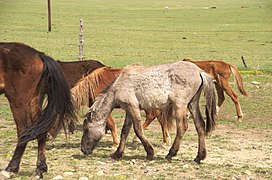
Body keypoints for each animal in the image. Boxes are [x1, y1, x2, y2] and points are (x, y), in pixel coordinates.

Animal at [0, 42, 76, 179]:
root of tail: (38, 55)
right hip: (34, 101)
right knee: (41, 130)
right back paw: (39, 169)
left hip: (18, 102)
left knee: (23, 131)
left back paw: (10, 168)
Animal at [79, 61, 216, 164]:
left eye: (86, 129)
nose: (83, 150)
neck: (119, 86)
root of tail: (199, 71)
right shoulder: (129, 110)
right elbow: (125, 131)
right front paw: (117, 153)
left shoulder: (133, 108)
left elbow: (138, 130)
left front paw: (150, 153)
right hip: (192, 104)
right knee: (200, 125)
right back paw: (199, 157)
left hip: (180, 105)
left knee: (182, 127)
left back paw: (170, 154)